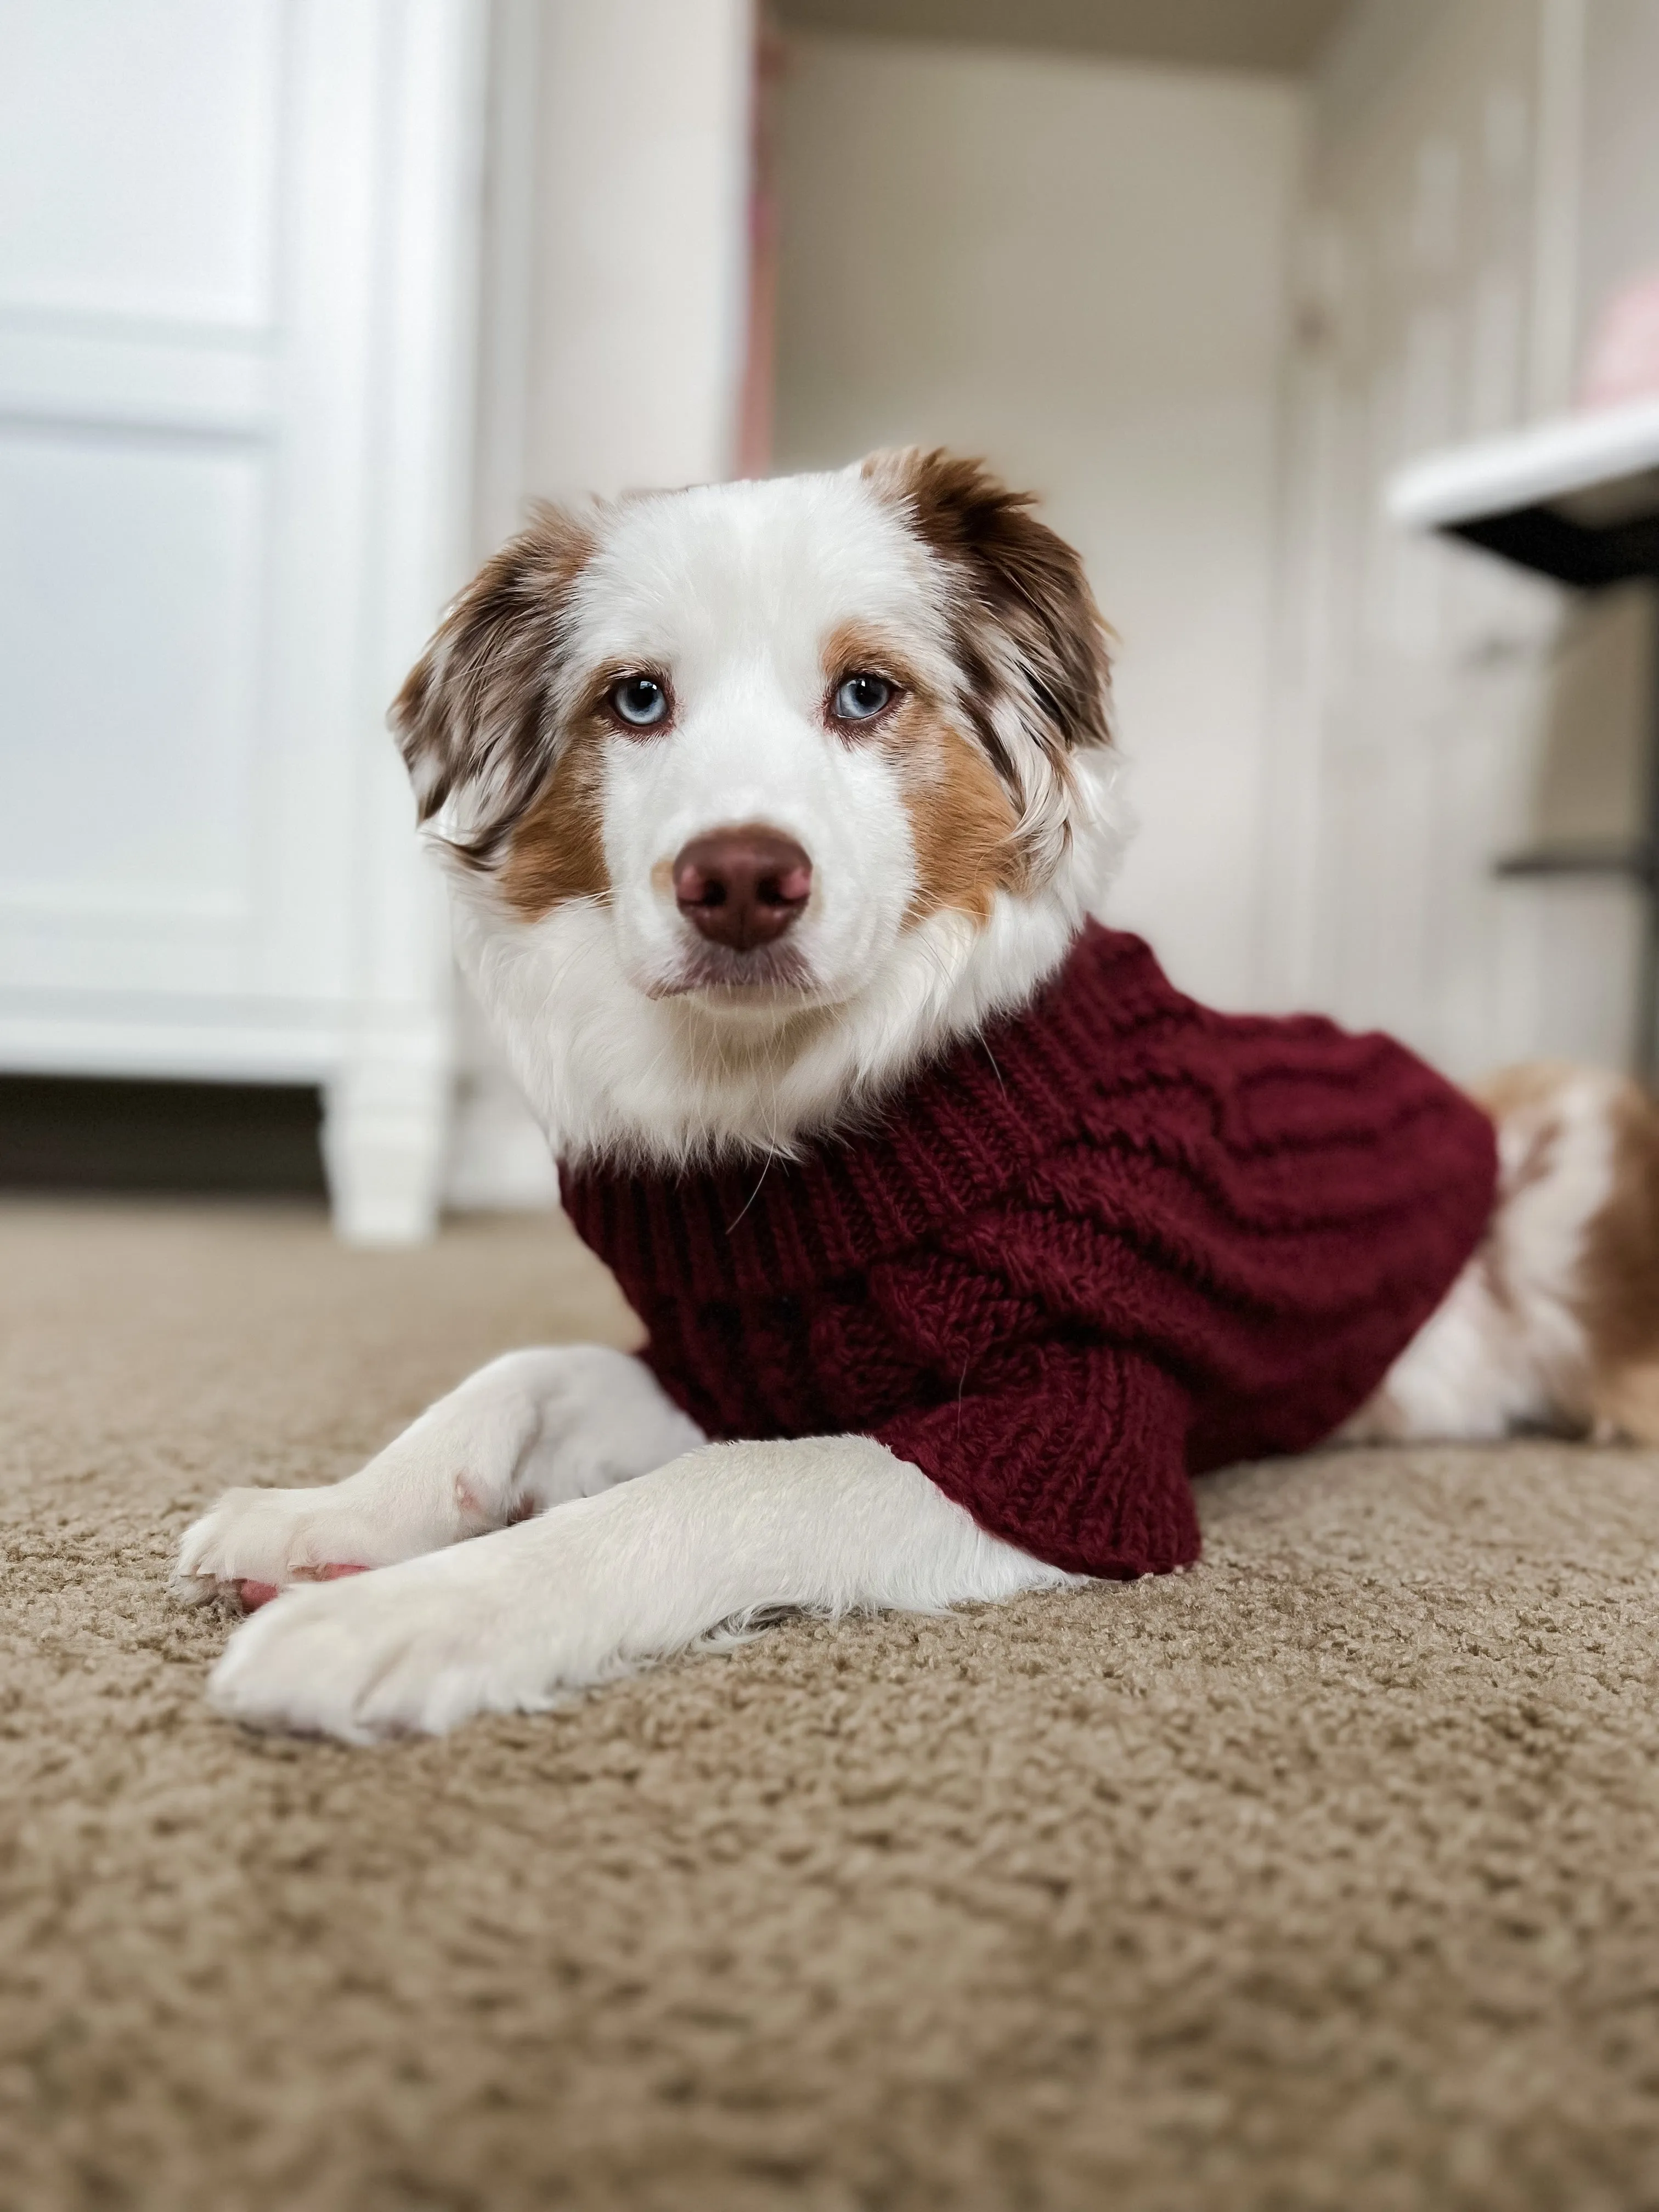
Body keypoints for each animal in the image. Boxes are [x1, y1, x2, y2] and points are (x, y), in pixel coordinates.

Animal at [176, 453, 1659, 1743]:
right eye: (637, 701)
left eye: (866, 694)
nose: (740, 880)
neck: (798, 1106)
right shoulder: (729, 1365)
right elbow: (518, 1375)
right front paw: (331, 1517)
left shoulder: (1070, 1439)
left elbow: (721, 1488)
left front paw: (405, 1618)